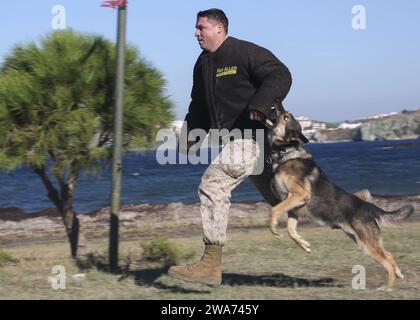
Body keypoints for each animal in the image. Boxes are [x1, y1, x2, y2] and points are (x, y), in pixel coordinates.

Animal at [266, 103, 414, 290]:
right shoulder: (294, 206)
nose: (276, 104)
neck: (286, 151)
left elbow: (273, 210)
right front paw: (304, 244)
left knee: (387, 261)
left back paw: (388, 288)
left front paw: (273, 228)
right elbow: (291, 230)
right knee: (389, 255)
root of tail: (369, 206)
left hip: (366, 244)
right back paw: (399, 274)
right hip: (361, 239)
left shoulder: (300, 195)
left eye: (285, 116)